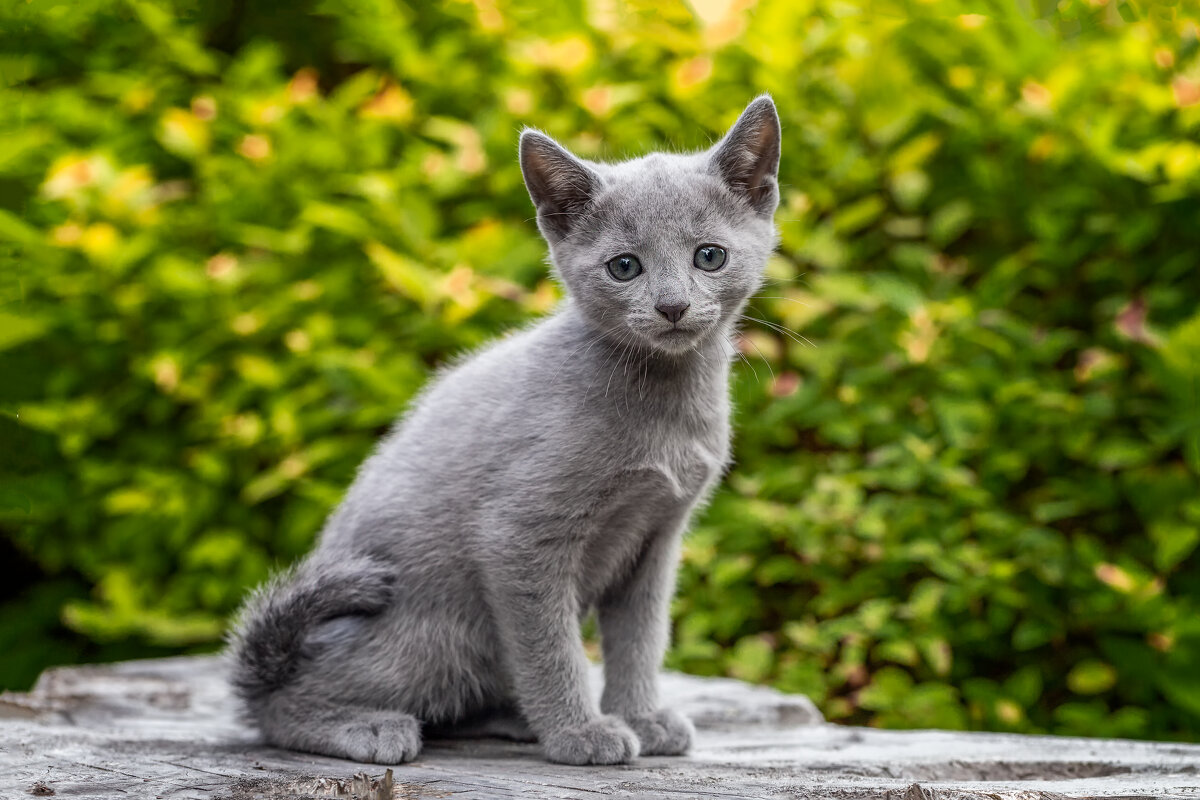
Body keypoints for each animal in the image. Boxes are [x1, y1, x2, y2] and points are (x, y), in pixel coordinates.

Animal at [228, 97, 782, 767]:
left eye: (709, 256)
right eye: (624, 267)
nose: (672, 306)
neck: (663, 402)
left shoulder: (656, 538)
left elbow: (640, 638)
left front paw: (641, 718)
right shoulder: (516, 537)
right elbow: (551, 646)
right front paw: (580, 734)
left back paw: (511, 719)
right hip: (435, 631)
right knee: (279, 704)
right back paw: (365, 727)